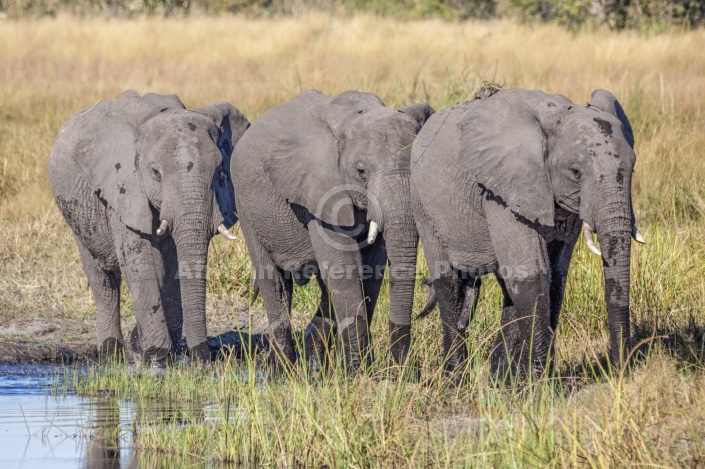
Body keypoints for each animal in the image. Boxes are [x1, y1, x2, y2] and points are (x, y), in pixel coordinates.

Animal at [48, 89, 249, 364]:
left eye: (220, 171)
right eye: (155, 173)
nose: (202, 357)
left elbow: (173, 264)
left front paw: (148, 347)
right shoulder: (122, 186)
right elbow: (138, 261)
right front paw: (155, 354)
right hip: (77, 213)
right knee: (103, 278)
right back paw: (110, 353)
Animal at [231, 89, 432, 372]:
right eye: (361, 171)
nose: (403, 369)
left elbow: (371, 268)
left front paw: (366, 370)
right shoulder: (320, 190)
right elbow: (343, 269)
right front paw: (356, 373)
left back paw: (314, 367)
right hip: (246, 206)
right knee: (274, 281)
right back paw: (283, 370)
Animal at [410, 88, 648, 378]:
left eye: (632, 169)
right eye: (576, 172)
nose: (619, 370)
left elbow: (555, 277)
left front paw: (527, 379)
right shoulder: (503, 190)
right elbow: (533, 275)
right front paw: (536, 382)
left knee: (506, 285)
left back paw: (498, 377)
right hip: (423, 204)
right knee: (448, 280)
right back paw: (455, 379)